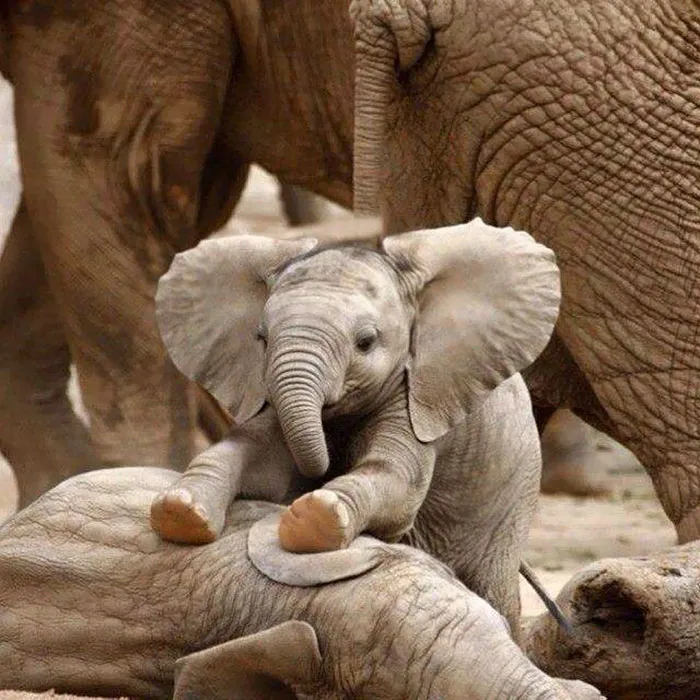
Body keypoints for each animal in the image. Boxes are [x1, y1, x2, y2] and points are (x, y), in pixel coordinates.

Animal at [148, 219, 560, 634]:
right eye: (260, 339)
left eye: (366, 342)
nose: (324, 470)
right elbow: (255, 454)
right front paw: (179, 510)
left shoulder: (415, 396)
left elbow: (397, 479)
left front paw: (313, 518)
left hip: (513, 495)